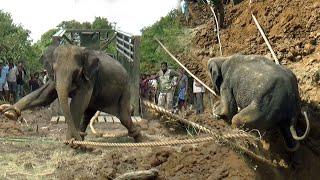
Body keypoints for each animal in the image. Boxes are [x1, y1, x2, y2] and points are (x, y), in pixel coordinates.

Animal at [0, 44, 142, 141]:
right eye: (54, 69)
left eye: (76, 72)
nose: (7, 110)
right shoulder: (55, 78)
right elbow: (44, 95)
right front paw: (10, 113)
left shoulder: (90, 78)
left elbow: (77, 104)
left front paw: (71, 141)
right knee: (88, 114)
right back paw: (82, 136)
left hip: (125, 89)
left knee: (124, 117)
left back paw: (139, 138)